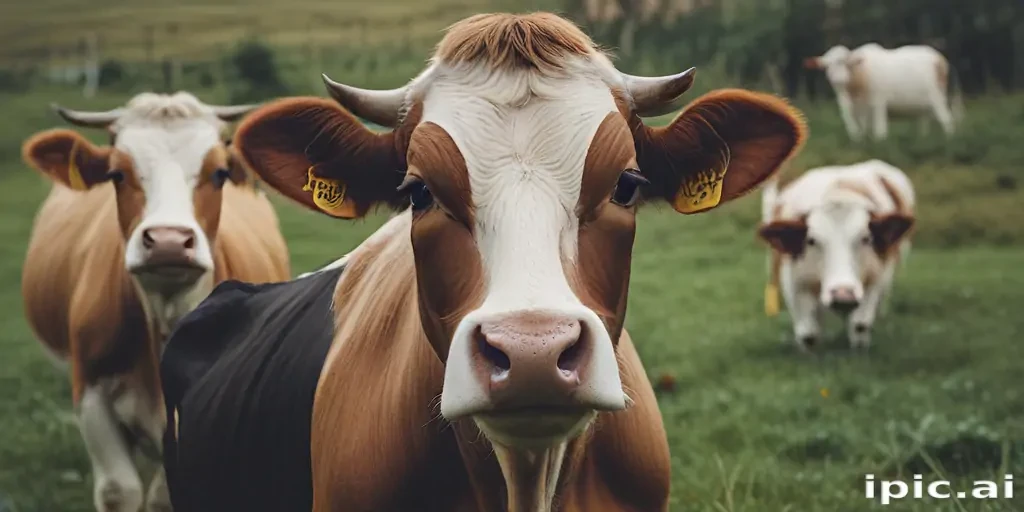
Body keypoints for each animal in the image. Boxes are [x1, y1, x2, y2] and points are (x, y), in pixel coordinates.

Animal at [757, 159, 915, 351]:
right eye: (811, 240)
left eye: (866, 238)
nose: (843, 296)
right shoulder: (794, 282)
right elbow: (808, 335)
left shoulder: (875, 278)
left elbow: (860, 325)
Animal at [805, 43, 963, 141]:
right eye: (825, 66)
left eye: (846, 63)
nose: (837, 79)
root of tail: (940, 59)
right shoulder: (852, 109)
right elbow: (857, 132)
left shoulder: (878, 103)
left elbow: (880, 132)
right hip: (925, 106)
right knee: (924, 123)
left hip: (937, 98)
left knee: (946, 120)